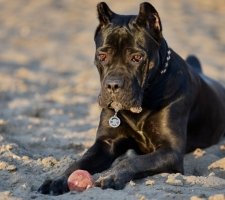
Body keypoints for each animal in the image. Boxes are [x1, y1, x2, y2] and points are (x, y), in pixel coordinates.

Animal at [38, 1, 225, 195]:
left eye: (137, 57)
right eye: (102, 56)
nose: (113, 85)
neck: (144, 101)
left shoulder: (170, 151)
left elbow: (134, 161)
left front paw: (113, 176)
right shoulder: (105, 143)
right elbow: (78, 162)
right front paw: (58, 179)